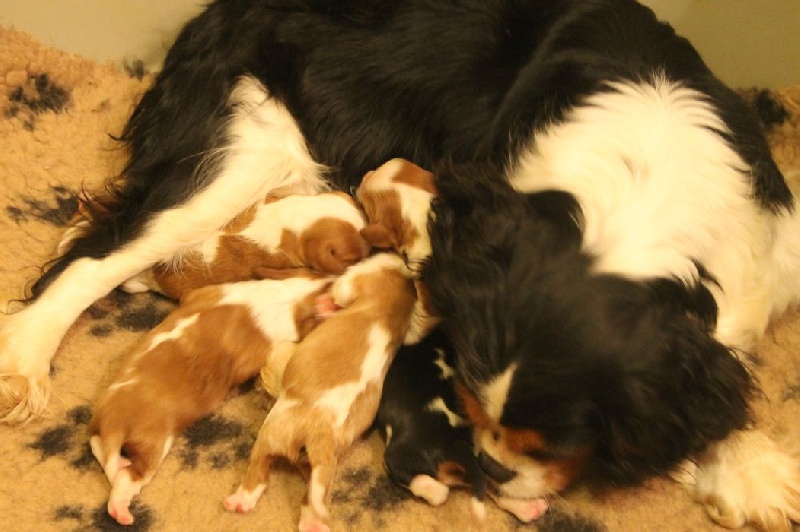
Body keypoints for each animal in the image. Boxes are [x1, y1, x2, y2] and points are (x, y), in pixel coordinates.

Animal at [85, 276, 328, 524]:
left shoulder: (208, 292)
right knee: (129, 478)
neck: (290, 296)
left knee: (98, 447)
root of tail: (113, 423)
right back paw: (121, 510)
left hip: (101, 429)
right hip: (152, 446)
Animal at [222, 252, 416, 532]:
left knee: (257, 473)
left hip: (270, 434)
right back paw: (314, 523)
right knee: (313, 496)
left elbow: (341, 288)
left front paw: (326, 304)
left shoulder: (356, 281)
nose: (398, 255)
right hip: (323, 470)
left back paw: (239, 500)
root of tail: (317, 436)